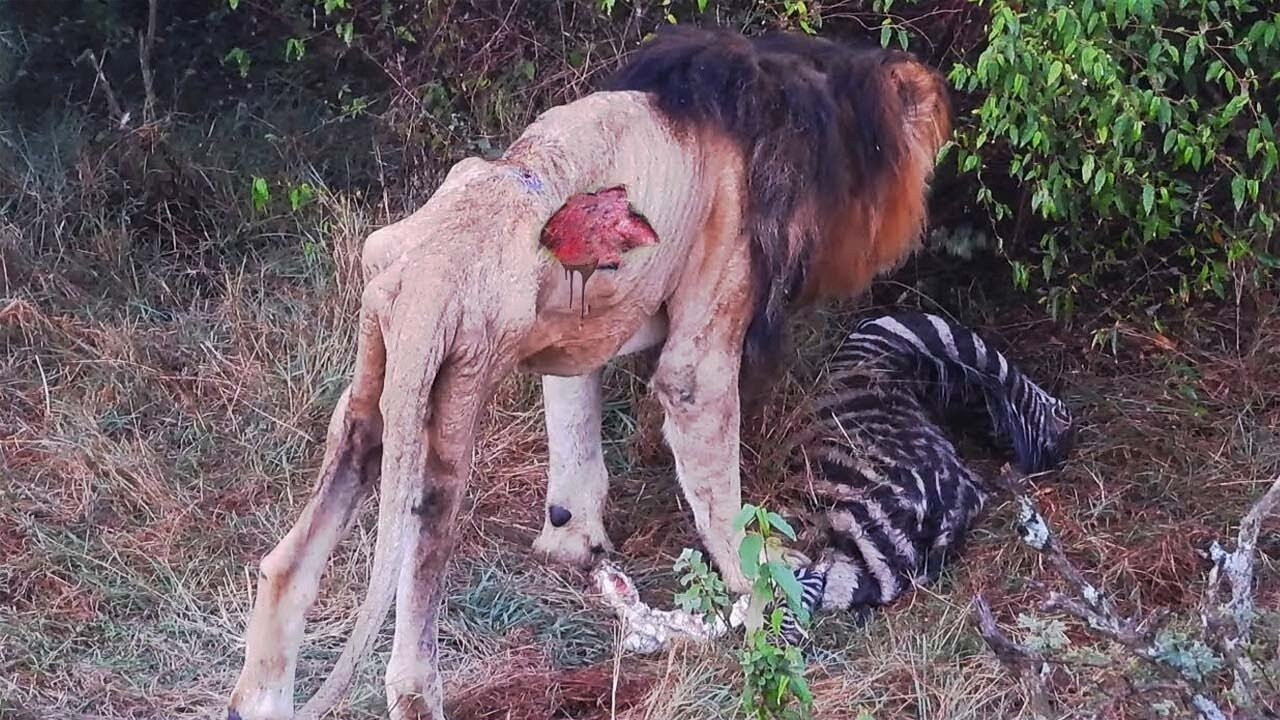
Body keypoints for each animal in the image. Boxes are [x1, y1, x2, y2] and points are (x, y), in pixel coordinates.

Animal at [227, 25, 952, 717]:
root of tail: (433, 265)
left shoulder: (575, 326)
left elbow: (574, 434)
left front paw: (574, 545)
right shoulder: (706, 333)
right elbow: (720, 490)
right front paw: (767, 589)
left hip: (376, 381)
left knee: (292, 556)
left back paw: (258, 702)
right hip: (454, 393)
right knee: (418, 579)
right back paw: (416, 696)